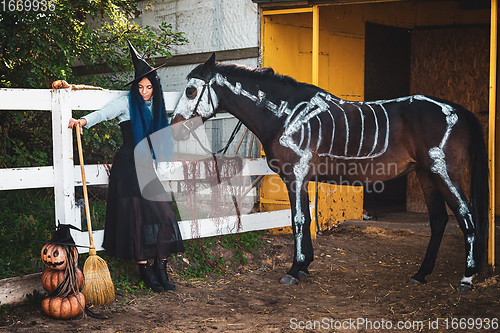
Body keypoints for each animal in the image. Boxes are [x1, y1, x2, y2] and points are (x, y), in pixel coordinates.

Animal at [171, 53, 488, 290]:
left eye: (191, 90)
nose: (175, 127)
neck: (287, 114)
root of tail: (457, 110)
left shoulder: (295, 175)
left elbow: (299, 219)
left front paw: (294, 269)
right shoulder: (303, 178)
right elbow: (307, 217)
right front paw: (304, 267)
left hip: (443, 174)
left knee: (467, 215)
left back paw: (467, 277)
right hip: (426, 176)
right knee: (439, 221)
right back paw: (421, 275)